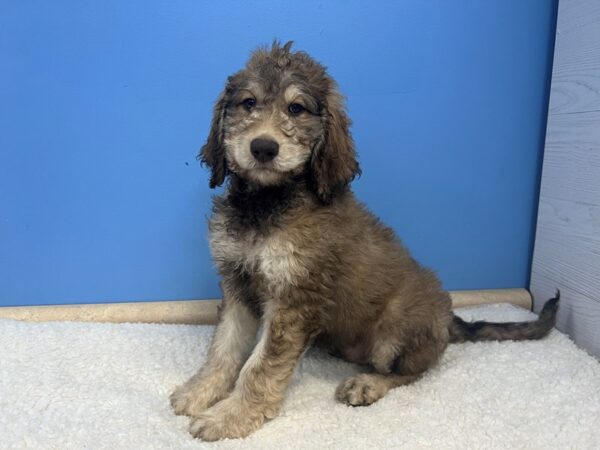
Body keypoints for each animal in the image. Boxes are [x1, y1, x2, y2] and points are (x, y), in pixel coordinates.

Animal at [171, 40, 560, 442]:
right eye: (248, 103)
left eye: (296, 108)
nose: (263, 147)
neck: (266, 204)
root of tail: (450, 320)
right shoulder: (238, 284)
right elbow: (225, 347)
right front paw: (200, 392)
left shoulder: (293, 300)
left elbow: (260, 365)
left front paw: (229, 416)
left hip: (396, 331)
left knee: (411, 371)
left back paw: (367, 384)